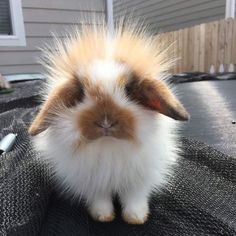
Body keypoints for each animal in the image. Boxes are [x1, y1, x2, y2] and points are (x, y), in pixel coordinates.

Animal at [28, 23, 189, 224]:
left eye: (128, 91)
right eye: (81, 94)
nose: (105, 122)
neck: (108, 145)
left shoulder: (138, 180)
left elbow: (134, 198)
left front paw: (135, 218)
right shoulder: (93, 182)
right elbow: (100, 198)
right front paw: (103, 217)